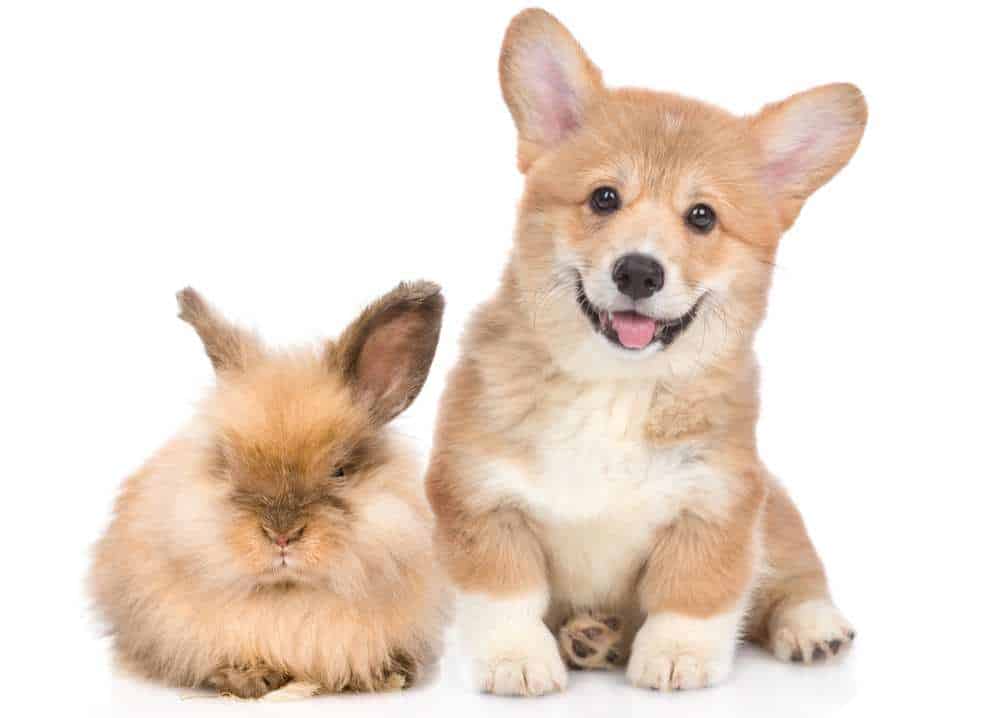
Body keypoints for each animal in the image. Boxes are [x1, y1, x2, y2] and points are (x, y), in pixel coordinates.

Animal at [89, 282, 449, 698]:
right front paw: (250, 678)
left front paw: (389, 674)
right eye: (228, 465)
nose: (281, 535)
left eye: (340, 471)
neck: (288, 592)